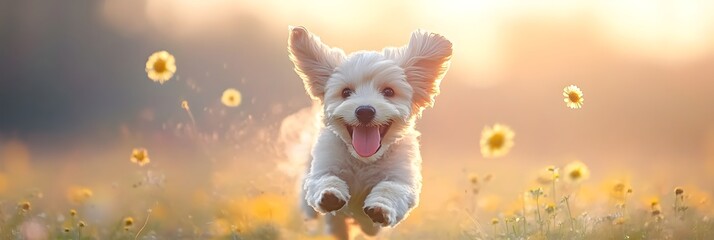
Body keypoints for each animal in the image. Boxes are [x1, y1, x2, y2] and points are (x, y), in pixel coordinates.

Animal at [286, 25, 448, 238]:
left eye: (388, 91)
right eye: (346, 92)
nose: (364, 111)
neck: (363, 160)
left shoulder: (402, 179)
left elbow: (391, 189)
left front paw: (380, 208)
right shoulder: (324, 166)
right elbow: (325, 180)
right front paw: (330, 194)